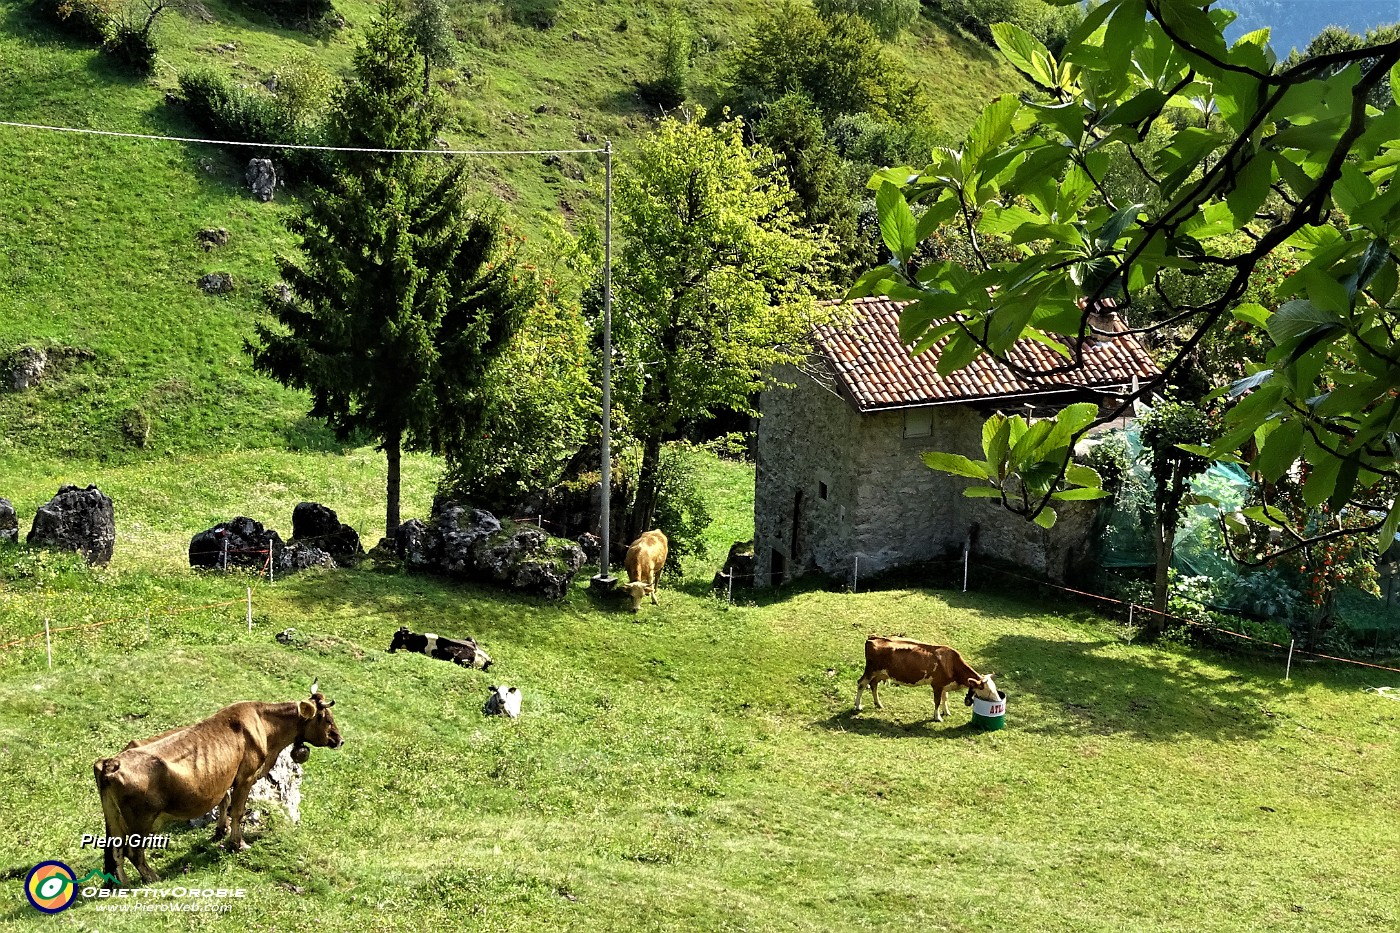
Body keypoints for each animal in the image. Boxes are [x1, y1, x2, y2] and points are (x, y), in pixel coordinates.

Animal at [93, 686, 344, 885]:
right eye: (326, 719)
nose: (340, 740)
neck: (266, 727)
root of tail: (111, 763)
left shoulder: (225, 777)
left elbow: (224, 801)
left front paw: (220, 831)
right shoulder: (246, 777)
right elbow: (238, 811)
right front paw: (238, 843)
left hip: (113, 818)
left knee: (114, 850)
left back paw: (121, 884)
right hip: (142, 819)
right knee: (132, 851)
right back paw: (152, 877)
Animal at [845, 633, 1002, 717]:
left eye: (994, 688)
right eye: (987, 690)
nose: (998, 700)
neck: (951, 663)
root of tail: (874, 637)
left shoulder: (944, 685)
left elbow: (945, 699)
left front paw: (946, 712)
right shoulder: (937, 685)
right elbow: (937, 701)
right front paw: (937, 717)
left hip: (880, 673)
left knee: (873, 685)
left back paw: (878, 704)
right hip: (870, 670)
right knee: (861, 683)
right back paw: (858, 706)